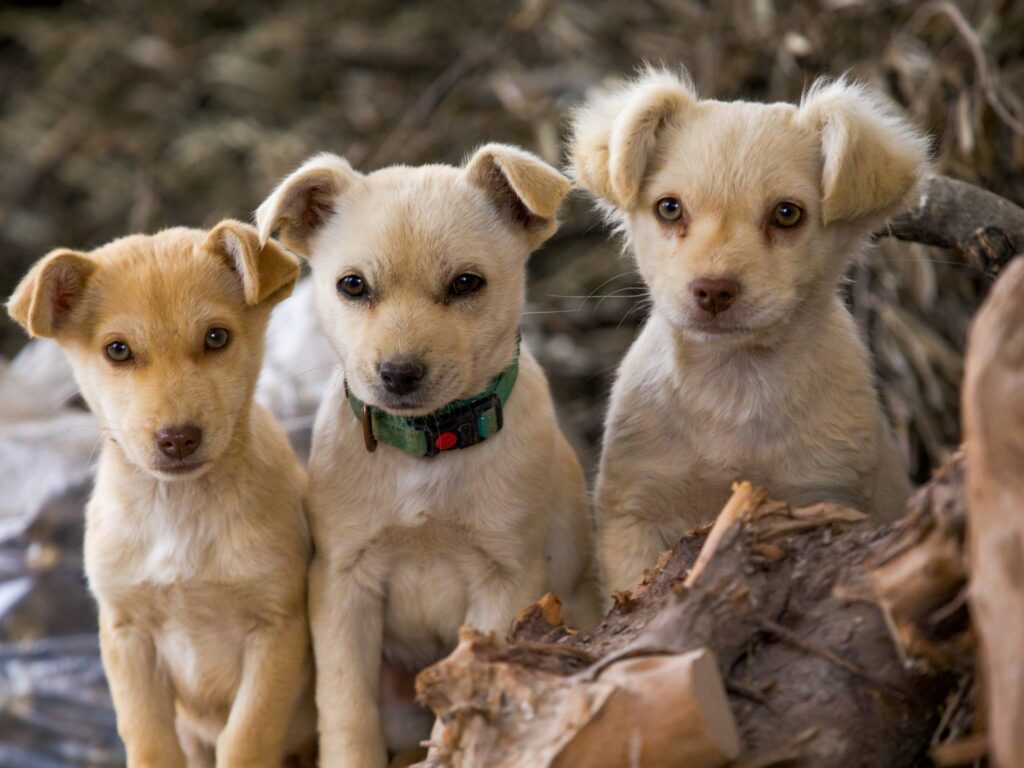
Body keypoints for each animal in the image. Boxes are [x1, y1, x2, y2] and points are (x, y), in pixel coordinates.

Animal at [7, 224, 315, 768]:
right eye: (117, 350)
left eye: (216, 337)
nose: (178, 439)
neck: (180, 511)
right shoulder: (126, 634)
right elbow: (149, 738)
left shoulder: (276, 628)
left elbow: (247, 737)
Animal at [256, 141, 602, 765]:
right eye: (352, 285)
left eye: (467, 283)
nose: (398, 374)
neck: (427, 448)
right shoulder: (342, 585)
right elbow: (347, 708)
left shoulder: (505, 583)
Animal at [569, 70, 929, 593]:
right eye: (669, 209)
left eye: (787, 214)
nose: (714, 290)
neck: (732, 384)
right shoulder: (634, 515)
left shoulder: (826, 495)